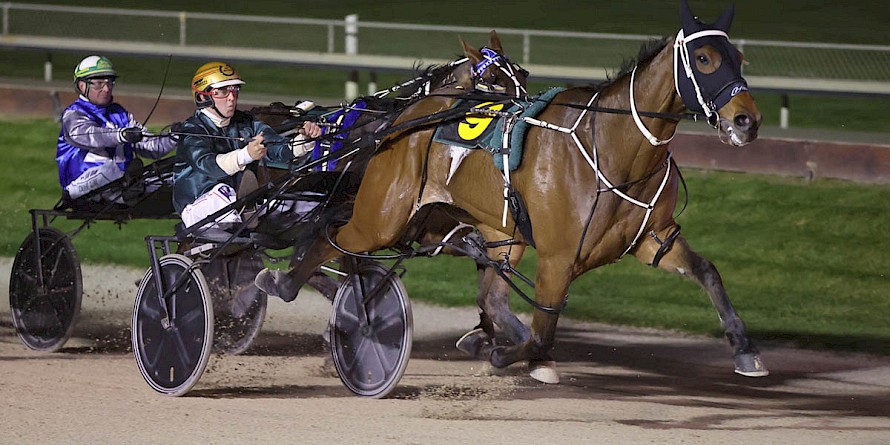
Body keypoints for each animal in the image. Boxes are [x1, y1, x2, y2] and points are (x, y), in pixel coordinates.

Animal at [256, 0, 764, 382]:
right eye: (704, 59)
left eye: (740, 58)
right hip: (383, 217)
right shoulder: (558, 256)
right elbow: (541, 331)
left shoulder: (652, 239)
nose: (747, 120)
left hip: (498, 234)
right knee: (331, 238)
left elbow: (708, 272)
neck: (611, 149)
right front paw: (510, 354)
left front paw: (745, 349)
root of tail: (406, 119)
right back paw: (284, 282)